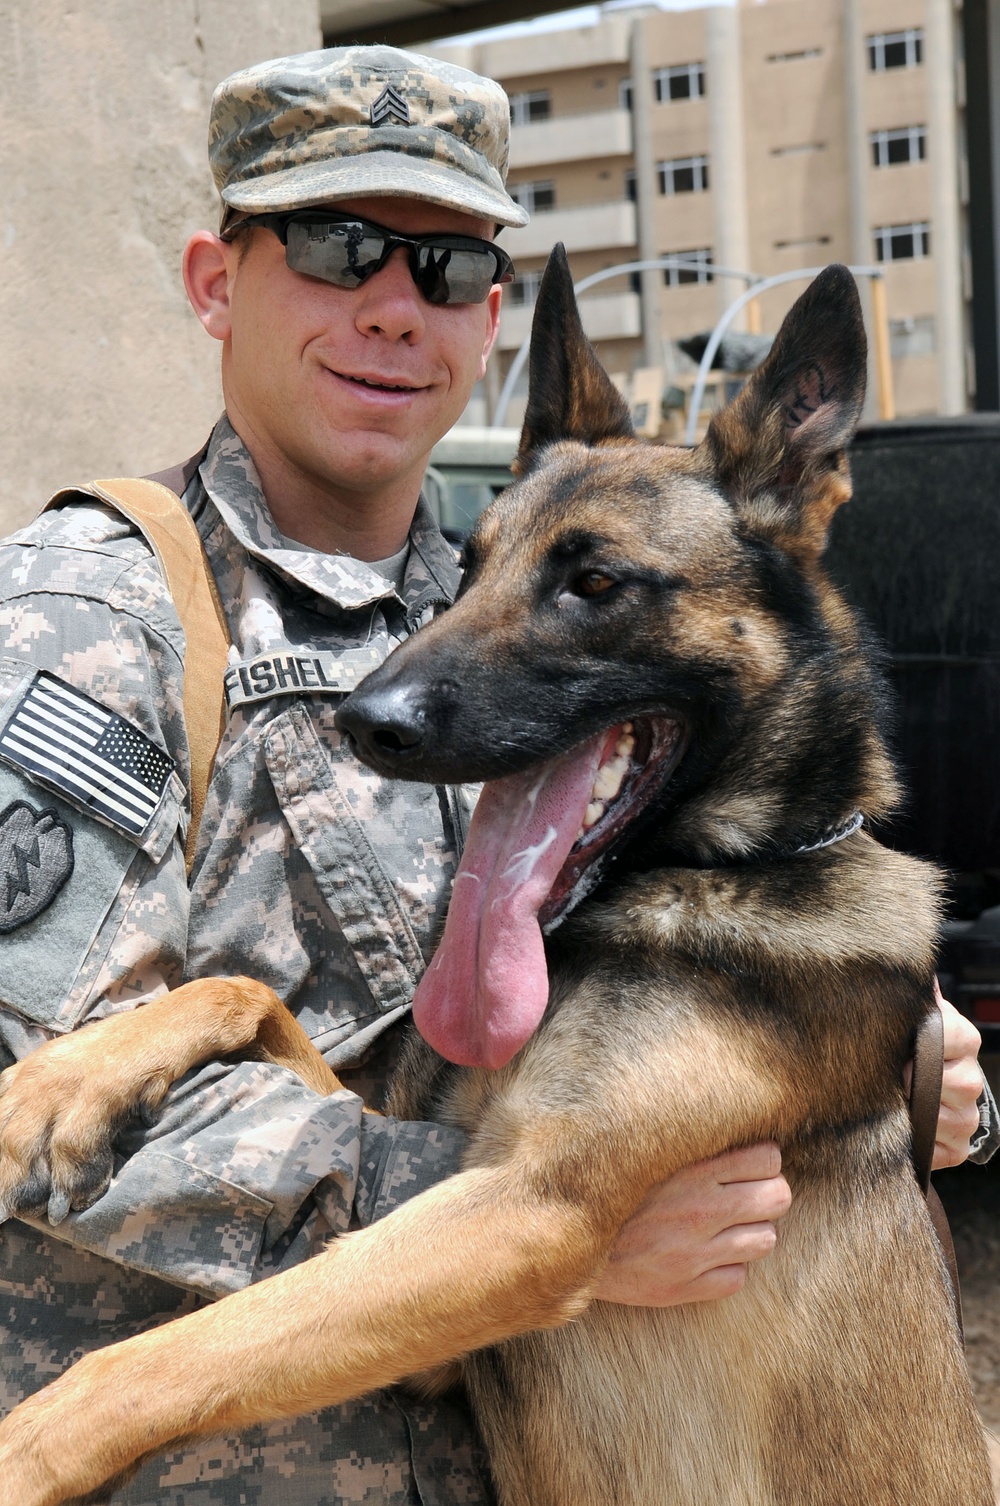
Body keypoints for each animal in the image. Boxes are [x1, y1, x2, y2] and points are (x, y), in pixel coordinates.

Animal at [0, 253, 993, 1499]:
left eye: (596, 582)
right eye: (467, 570)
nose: (364, 720)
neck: (692, 883)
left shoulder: (523, 1214)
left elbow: (168, 1358)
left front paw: (22, 1453)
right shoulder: (449, 1256)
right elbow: (245, 994)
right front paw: (59, 1084)